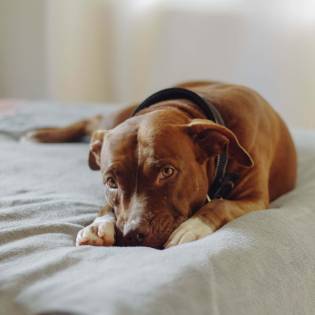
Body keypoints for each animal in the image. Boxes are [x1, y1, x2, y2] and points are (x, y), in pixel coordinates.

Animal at [25, 81, 298, 249]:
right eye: (111, 182)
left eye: (167, 171)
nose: (131, 235)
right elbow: (106, 206)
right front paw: (97, 225)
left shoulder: (255, 199)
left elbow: (219, 205)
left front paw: (191, 227)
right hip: (110, 122)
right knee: (91, 122)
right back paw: (39, 134)